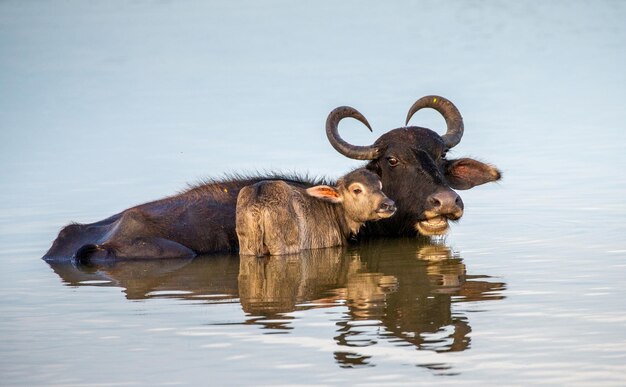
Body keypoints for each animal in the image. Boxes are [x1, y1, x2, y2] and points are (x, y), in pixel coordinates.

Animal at [236, 168, 392, 256]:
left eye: (380, 186)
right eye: (357, 190)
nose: (389, 204)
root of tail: (258, 200)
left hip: (247, 247)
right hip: (283, 246)